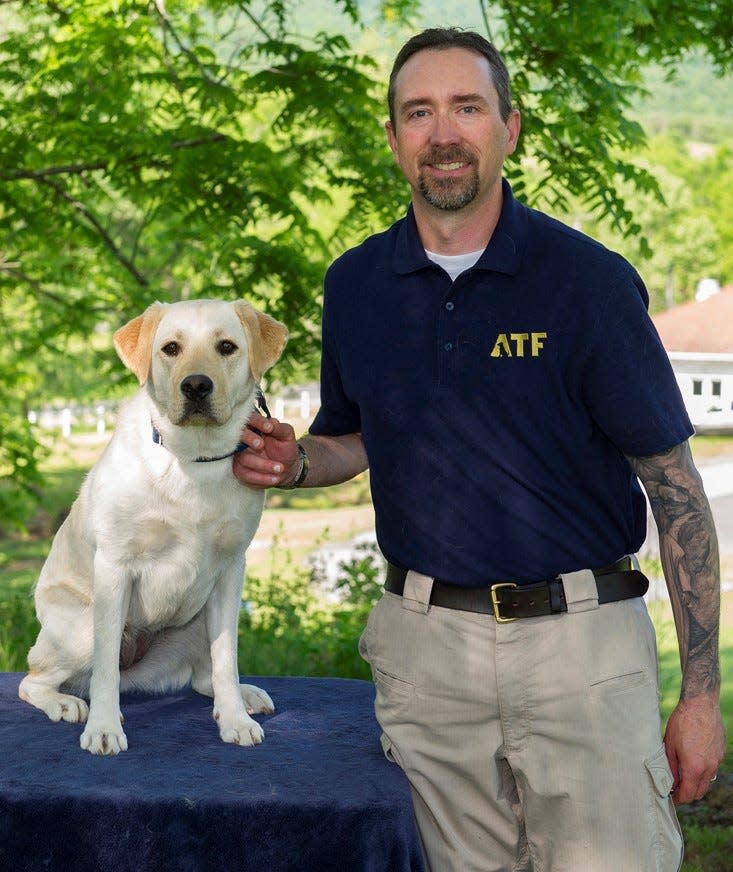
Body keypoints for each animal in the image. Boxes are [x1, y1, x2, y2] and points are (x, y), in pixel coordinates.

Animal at [17, 296, 286, 752]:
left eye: (227, 347)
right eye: (171, 349)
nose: (196, 386)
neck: (193, 460)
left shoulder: (230, 572)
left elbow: (226, 660)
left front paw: (234, 718)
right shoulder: (114, 568)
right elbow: (105, 670)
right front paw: (104, 728)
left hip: (198, 619)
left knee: (205, 675)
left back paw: (243, 696)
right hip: (80, 630)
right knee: (35, 680)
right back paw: (65, 703)